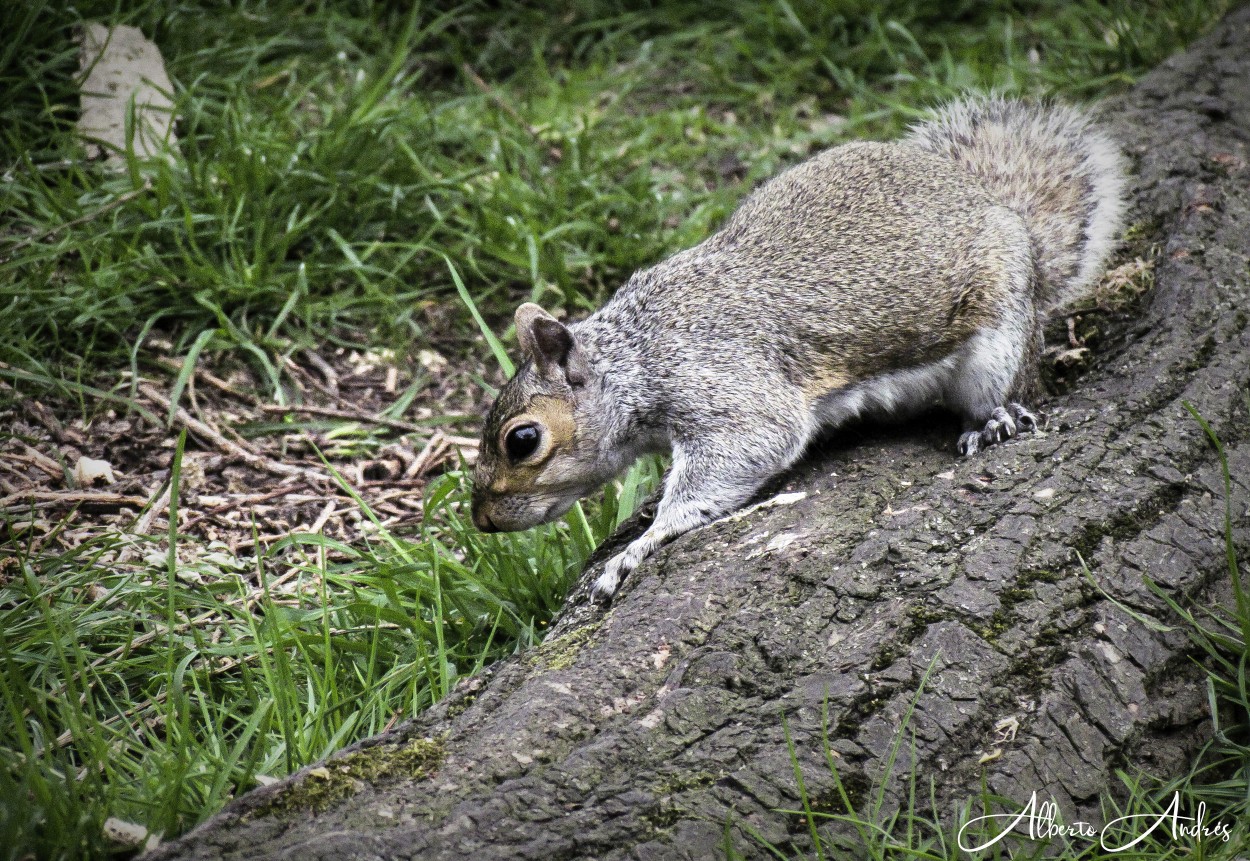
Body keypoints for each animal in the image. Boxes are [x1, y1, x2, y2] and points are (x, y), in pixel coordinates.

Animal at [470, 95, 1135, 597]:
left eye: (522, 440)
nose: (482, 521)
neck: (636, 354)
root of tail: (998, 209)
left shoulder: (725, 382)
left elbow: (748, 447)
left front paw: (639, 546)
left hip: (997, 339)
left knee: (1003, 388)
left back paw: (993, 419)